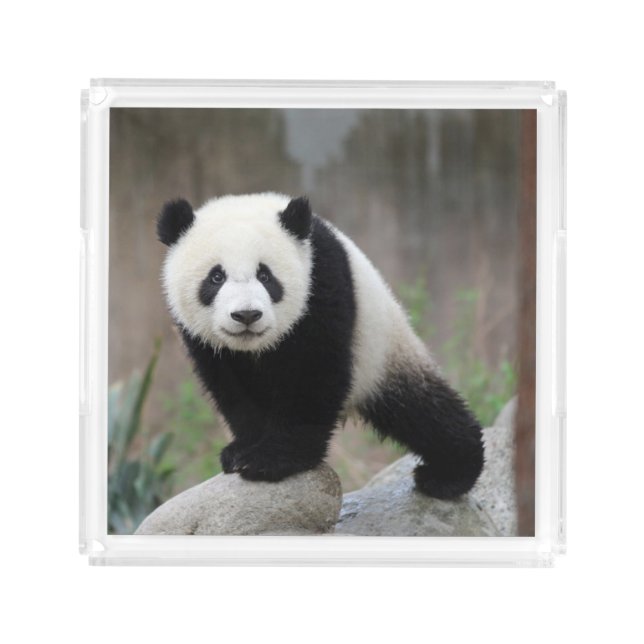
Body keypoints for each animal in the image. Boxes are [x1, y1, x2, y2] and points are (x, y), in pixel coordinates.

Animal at [158, 192, 484, 499]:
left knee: (422, 410)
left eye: (265, 275)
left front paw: (272, 460)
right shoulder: (204, 341)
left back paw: (449, 474)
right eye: (216, 277)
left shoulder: (322, 282)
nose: (247, 315)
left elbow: (313, 374)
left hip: (382, 351)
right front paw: (241, 451)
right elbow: (231, 389)